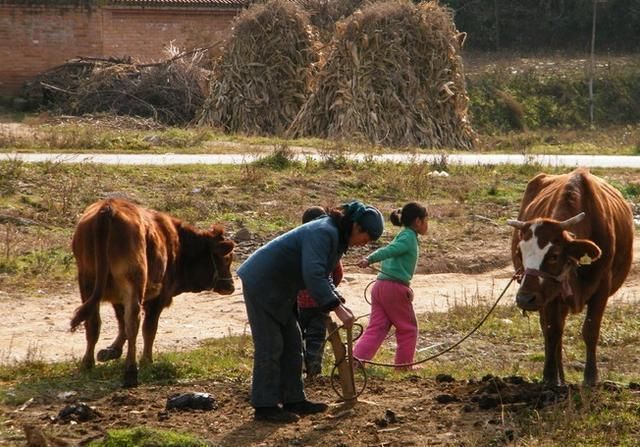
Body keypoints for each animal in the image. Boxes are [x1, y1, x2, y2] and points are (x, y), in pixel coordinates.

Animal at [71, 198, 235, 386]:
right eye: (227, 258)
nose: (230, 286)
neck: (177, 243)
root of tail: (108, 208)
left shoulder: (118, 297)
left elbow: (121, 323)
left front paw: (112, 350)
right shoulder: (159, 297)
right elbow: (149, 328)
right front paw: (147, 360)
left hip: (87, 281)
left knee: (94, 322)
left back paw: (87, 363)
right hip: (133, 280)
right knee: (133, 321)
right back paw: (131, 370)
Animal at [508, 170, 632, 386]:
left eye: (554, 255)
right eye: (519, 252)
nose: (525, 298)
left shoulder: (602, 288)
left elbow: (590, 330)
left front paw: (591, 377)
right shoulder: (551, 293)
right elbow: (552, 331)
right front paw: (550, 377)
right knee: (552, 331)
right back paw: (559, 377)